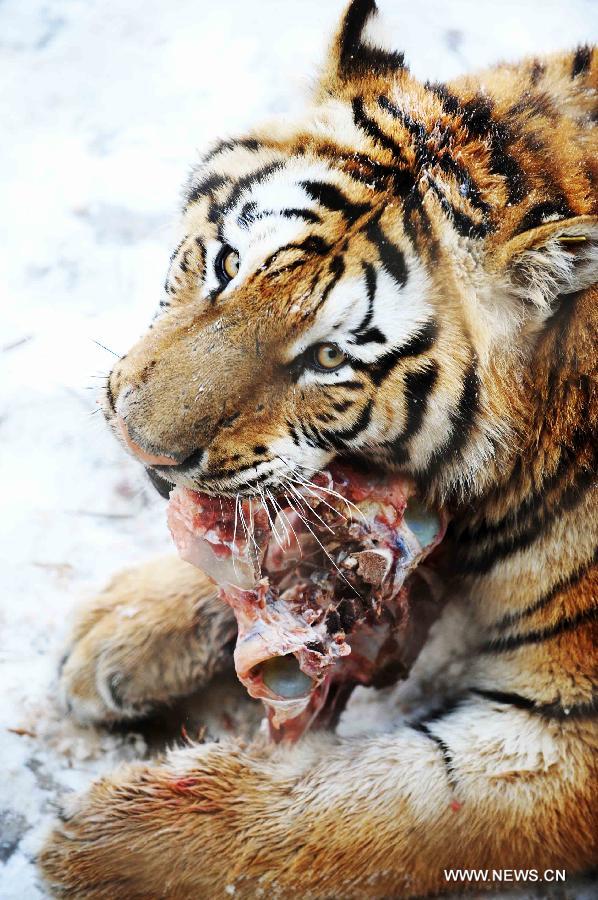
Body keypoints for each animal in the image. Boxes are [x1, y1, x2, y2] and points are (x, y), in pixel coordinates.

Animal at [39, 1, 596, 900]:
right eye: (227, 261)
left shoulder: (566, 729)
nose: (136, 439)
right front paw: (116, 633)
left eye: (328, 357)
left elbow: (367, 812)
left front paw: (101, 842)